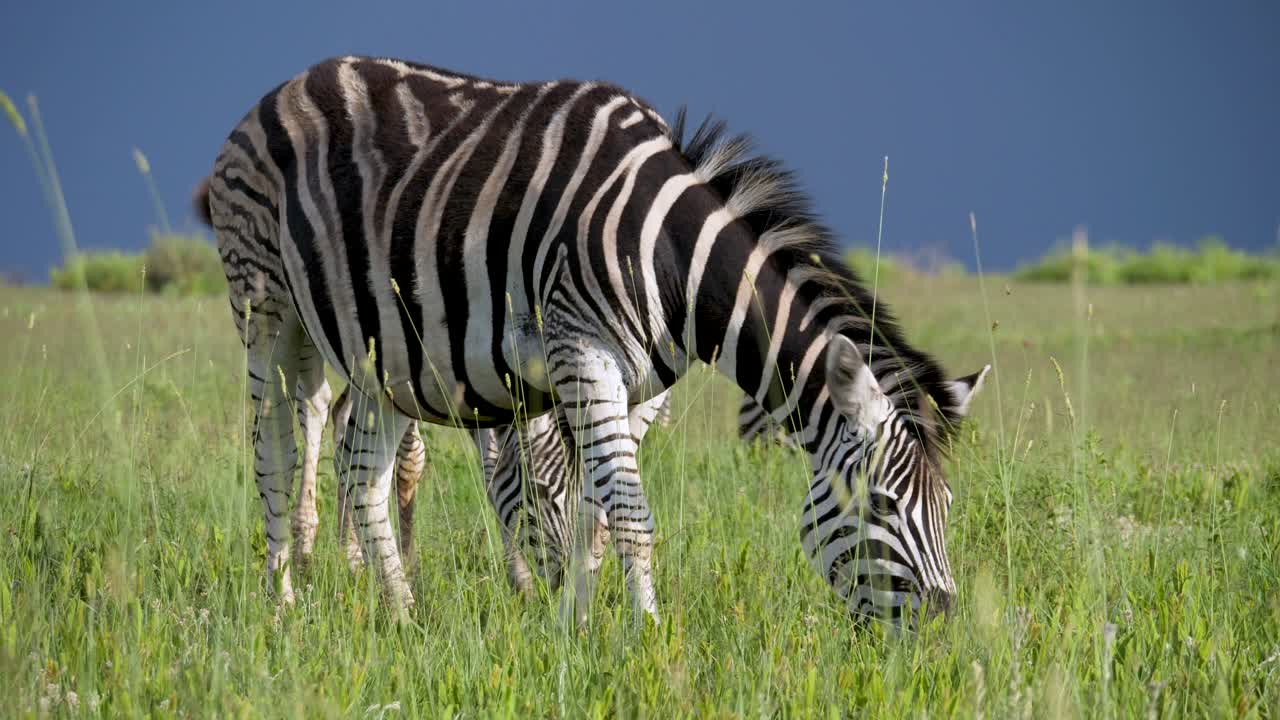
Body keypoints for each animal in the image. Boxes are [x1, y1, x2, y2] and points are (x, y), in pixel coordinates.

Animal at [202, 55, 987, 624]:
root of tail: (292, 83)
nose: (941, 627)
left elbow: (594, 511)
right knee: (275, 446)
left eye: (948, 509)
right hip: (266, 306)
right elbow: (632, 515)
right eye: (881, 506)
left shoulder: (637, 385)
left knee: (363, 469)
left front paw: (573, 627)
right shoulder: (582, 355)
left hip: (384, 349)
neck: (672, 256)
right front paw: (646, 636)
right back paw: (283, 599)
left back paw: (401, 617)